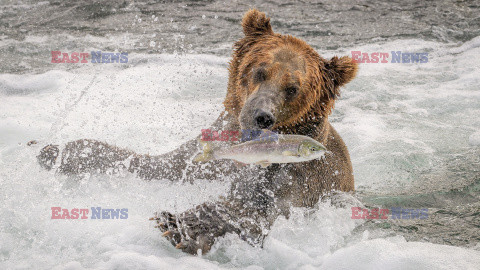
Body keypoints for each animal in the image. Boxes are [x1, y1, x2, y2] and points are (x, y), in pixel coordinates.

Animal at [36, 8, 356, 255]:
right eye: (260, 71)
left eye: (293, 88)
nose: (261, 116)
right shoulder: (209, 152)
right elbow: (157, 165)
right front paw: (65, 151)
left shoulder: (299, 177)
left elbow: (255, 210)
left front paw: (181, 224)